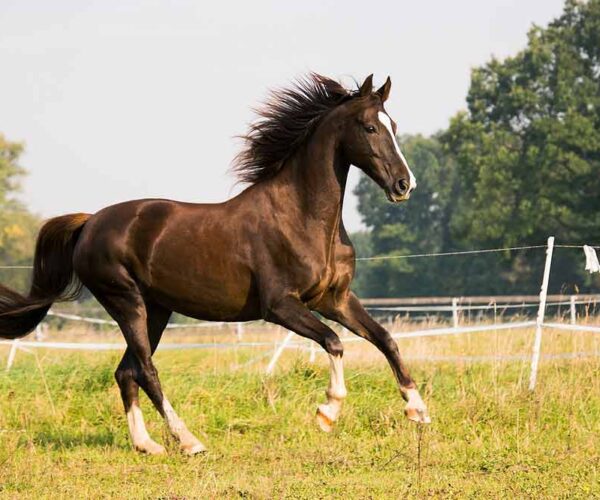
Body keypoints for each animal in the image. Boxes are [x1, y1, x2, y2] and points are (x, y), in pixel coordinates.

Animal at [1, 73, 432, 454]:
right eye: (369, 127)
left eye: (393, 125)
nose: (404, 185)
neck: (302, 217)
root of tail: (90, 222)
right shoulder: (280, 306)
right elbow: (334, 342)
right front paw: (327, 412)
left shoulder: (335, 299)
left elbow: (385, 339)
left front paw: (418, 410)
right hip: (126, 302)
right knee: (146, 371)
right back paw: (189, 441)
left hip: (156, 310)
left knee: (126, 372)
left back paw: (147, 445)